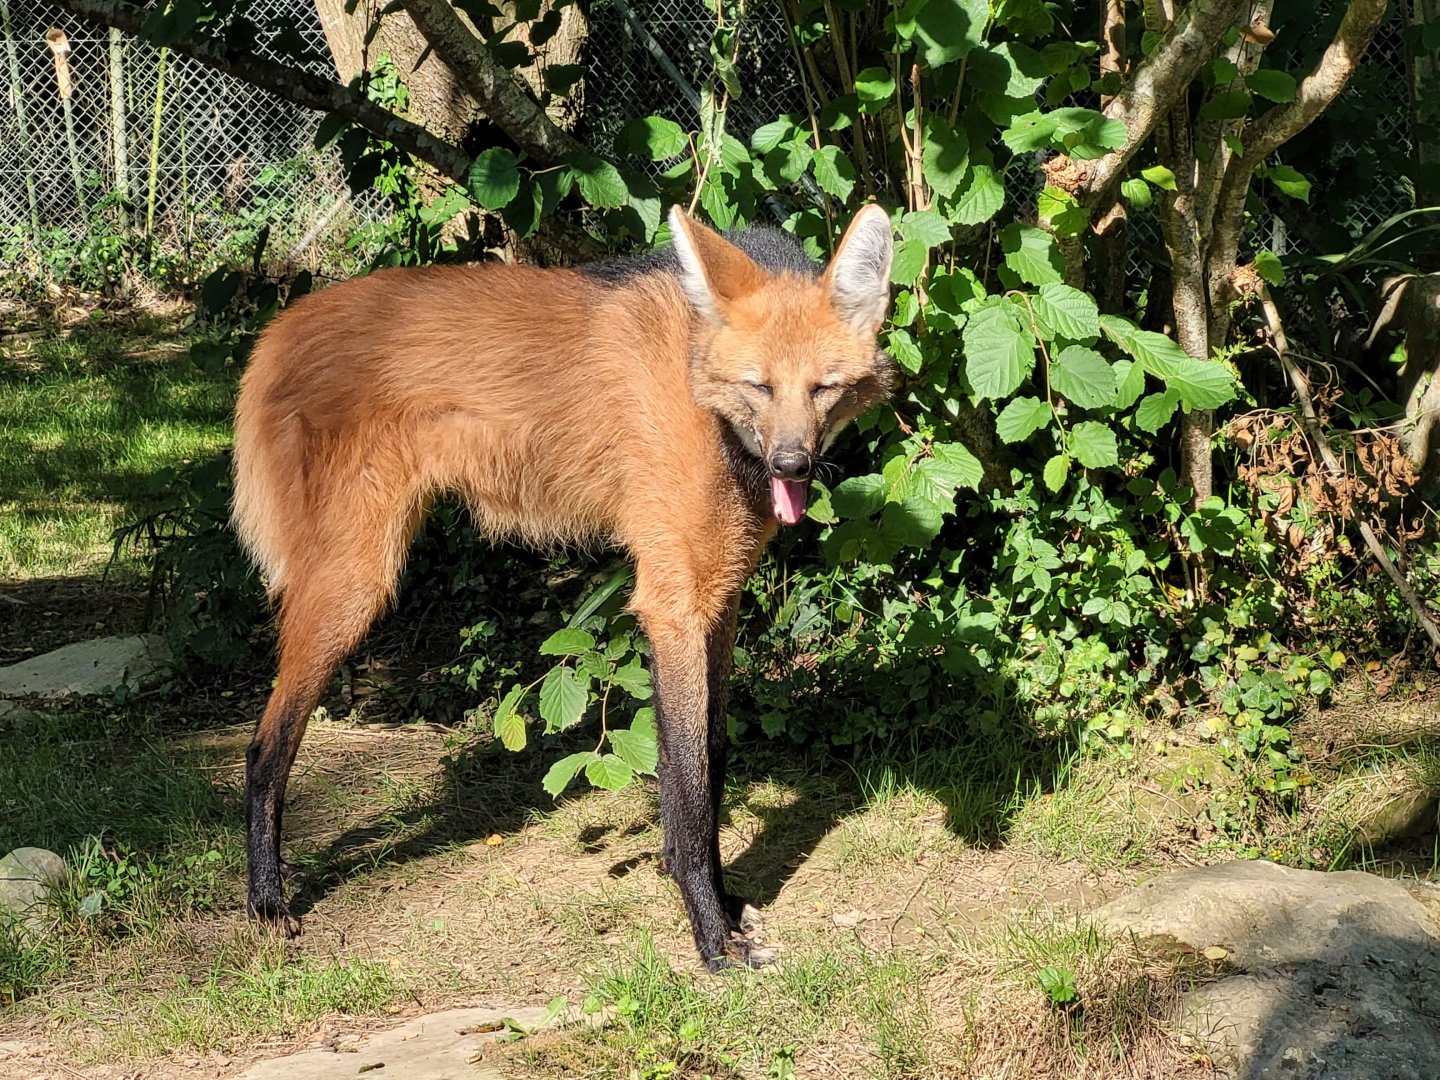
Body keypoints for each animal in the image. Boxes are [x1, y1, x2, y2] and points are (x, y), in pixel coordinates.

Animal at [231, 204, 895, 968]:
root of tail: (281, 327)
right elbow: (689, 789)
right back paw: (268, 901)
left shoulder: (718, 597)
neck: (703, 392)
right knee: (265, 746)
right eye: (758, 386)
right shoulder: (672, 603)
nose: (792, 463)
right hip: (354, 584)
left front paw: (727, 909)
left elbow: (712, 759)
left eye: (823, 387)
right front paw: (710, 935)